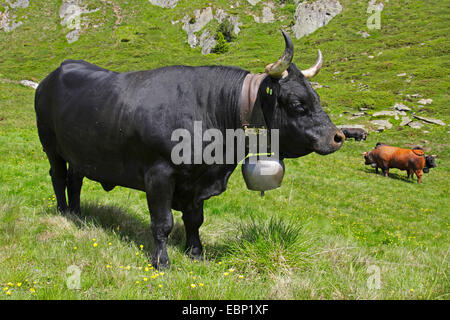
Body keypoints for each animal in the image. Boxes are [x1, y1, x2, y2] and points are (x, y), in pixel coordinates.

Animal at [35, 31, 344, 268]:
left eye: (316, 96)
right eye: (297, 103)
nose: (337, 136)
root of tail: (53, 74)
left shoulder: (198, 182)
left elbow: (195, 220)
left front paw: (195, 253)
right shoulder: (159, 175)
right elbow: (163, 222)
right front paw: (161, 261)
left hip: (79, 151)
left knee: (75, 179)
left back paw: (77, 214)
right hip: (51, 146)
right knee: (58, 177)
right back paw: (63, 213)